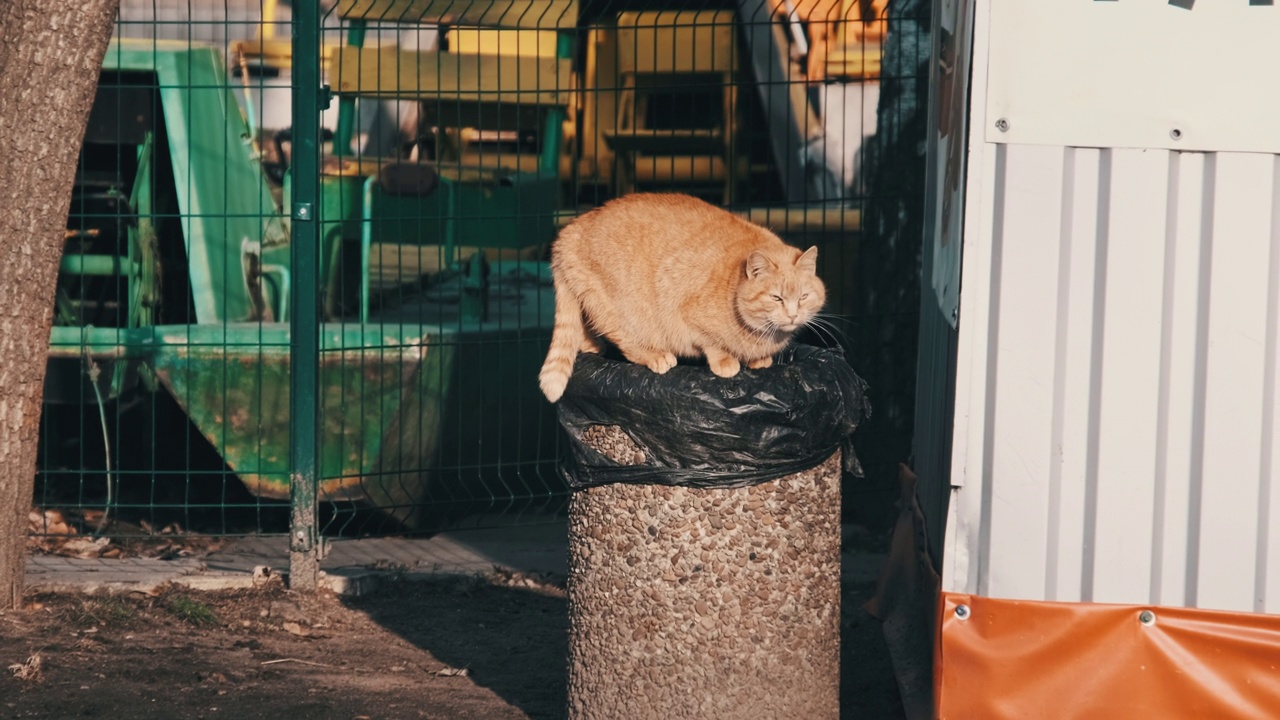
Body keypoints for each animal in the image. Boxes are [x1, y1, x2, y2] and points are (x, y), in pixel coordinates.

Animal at [535, 193, 824, 399]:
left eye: (803, 297)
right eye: (776, 298)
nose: (792, 315)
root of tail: (570, 229)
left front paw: (759, 360)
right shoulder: (690, 319)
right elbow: (713, 344)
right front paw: (726, 362)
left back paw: (590, 344)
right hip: (620, 310)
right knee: (624, 341)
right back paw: (653, 355)